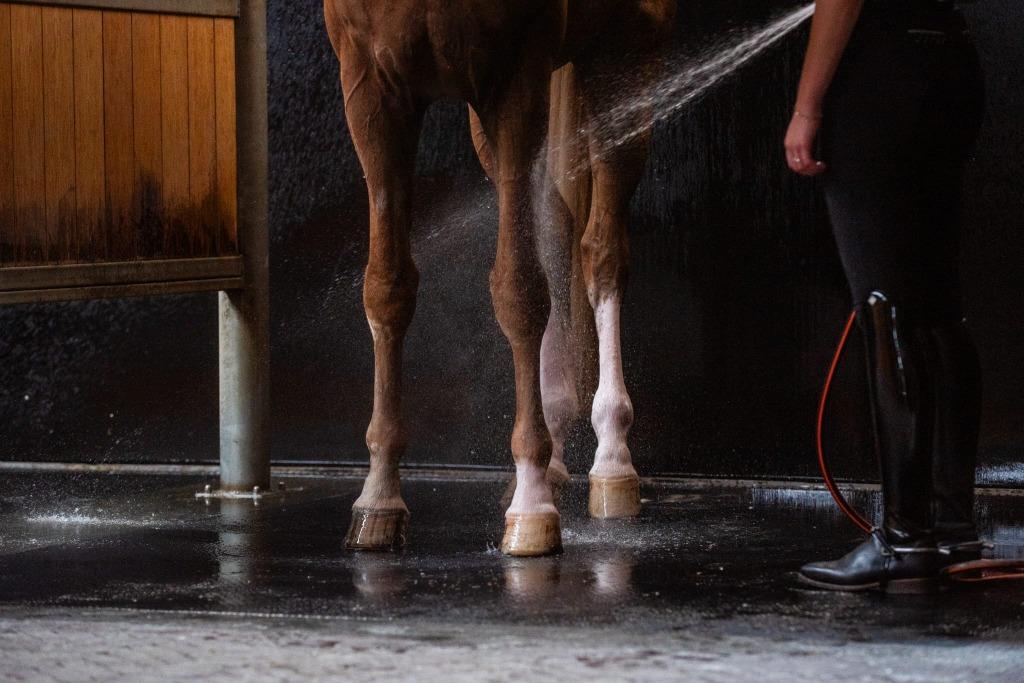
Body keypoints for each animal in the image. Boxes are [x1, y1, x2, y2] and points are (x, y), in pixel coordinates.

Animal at [324, 0, 675, 556]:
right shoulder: (371, 89)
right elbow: (387, 287)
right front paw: (378, 499)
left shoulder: (515, 79)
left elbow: (518, 291)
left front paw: (532, 508)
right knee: (556, 226)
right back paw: (557, 448)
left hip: (627, 53)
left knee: (601, 250)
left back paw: (611, 457)